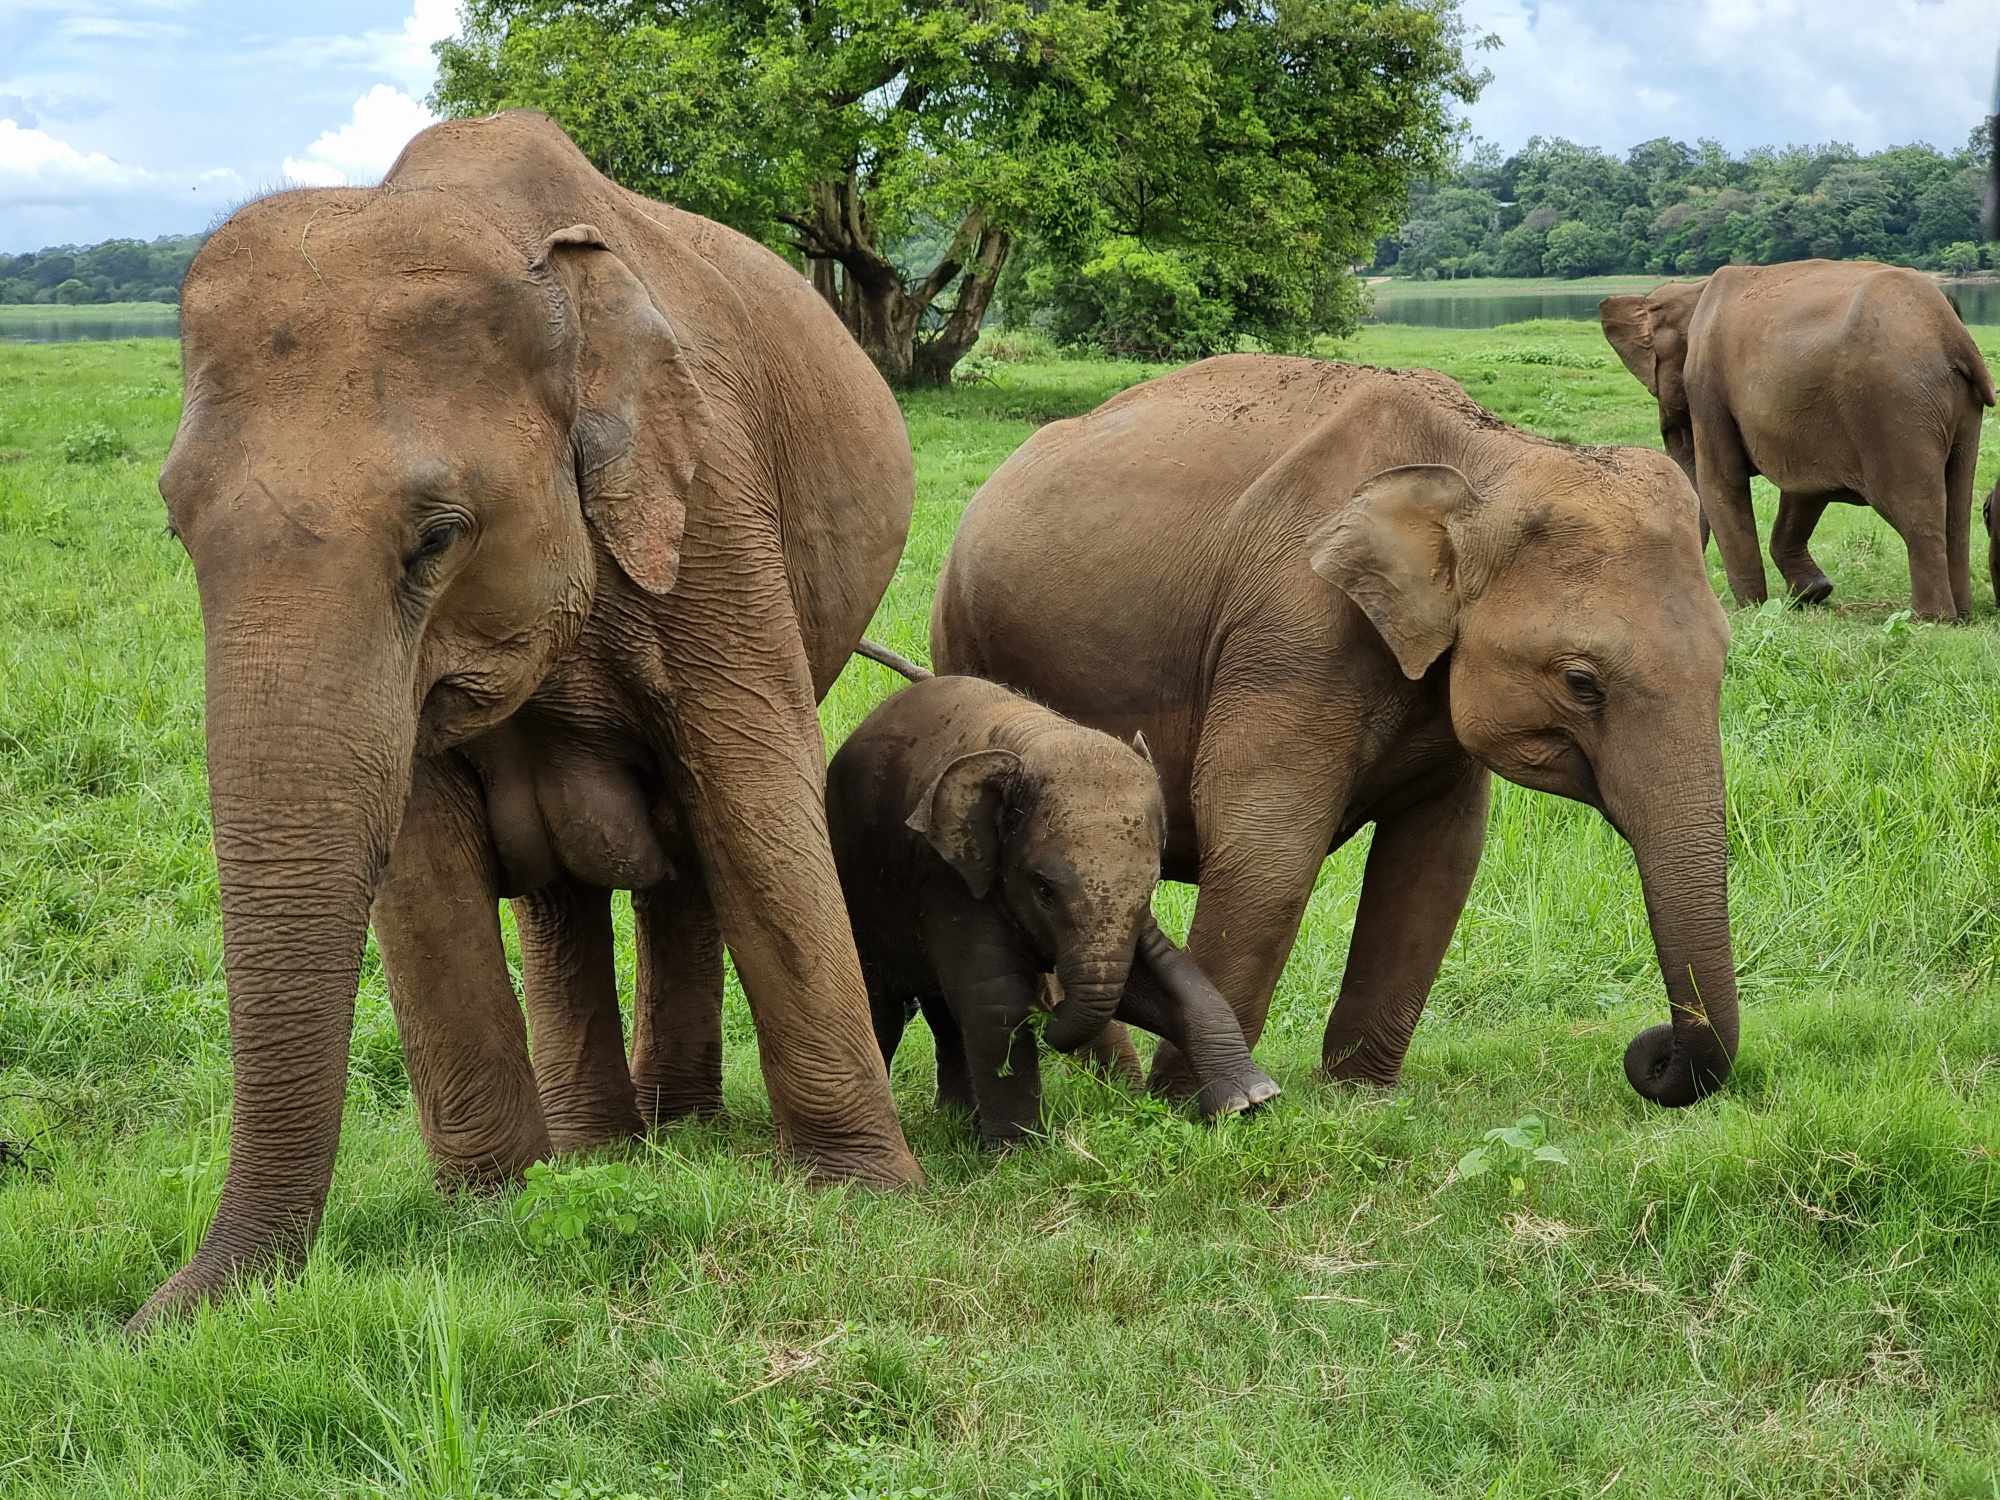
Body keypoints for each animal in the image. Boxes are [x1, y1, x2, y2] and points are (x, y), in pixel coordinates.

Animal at [140, 111, 921, 1328]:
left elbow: (757, 799)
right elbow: (419, 863)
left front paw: (868, 1203)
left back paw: (677, 1133)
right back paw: (608, 1148)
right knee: (572, 893)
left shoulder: (712, 500)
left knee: (691, 855)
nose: (147, 1319)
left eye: (436, 537)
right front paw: (494, 1214)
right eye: (177, 528)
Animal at [827, 669, 1278, 1142]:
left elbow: (1163, 976)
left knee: (943, 1014)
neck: (1039, 737)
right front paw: (1020, 1150)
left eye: (1153, 885)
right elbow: (998, 1000)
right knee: (884, 1007)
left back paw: (957, 1121)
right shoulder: (950, 875)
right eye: (1043, 890)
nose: (1053, 1008)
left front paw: (1250, 1100)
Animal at [931, 354, 1740, 1109]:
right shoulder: (1294, 632)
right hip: (965, 638)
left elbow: (1437, 860)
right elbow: (1267, 852)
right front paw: (1205, 1107)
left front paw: (1359, 1100)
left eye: (1724, 663)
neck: (1487, 456)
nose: (1650, 1054)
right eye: (1580, 682)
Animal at [1599, 260, 1994, 620]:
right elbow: (1805, 491)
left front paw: (1752, 609)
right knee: (1956, 508)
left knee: (1911, 507)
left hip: (1894, 403)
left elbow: (1721, 481)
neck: (1694, 289)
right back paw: (1962, 616)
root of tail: (1950, 330)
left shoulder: (1706, 382)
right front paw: (1814, 594)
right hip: (1957, 404)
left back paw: (1930, 619)